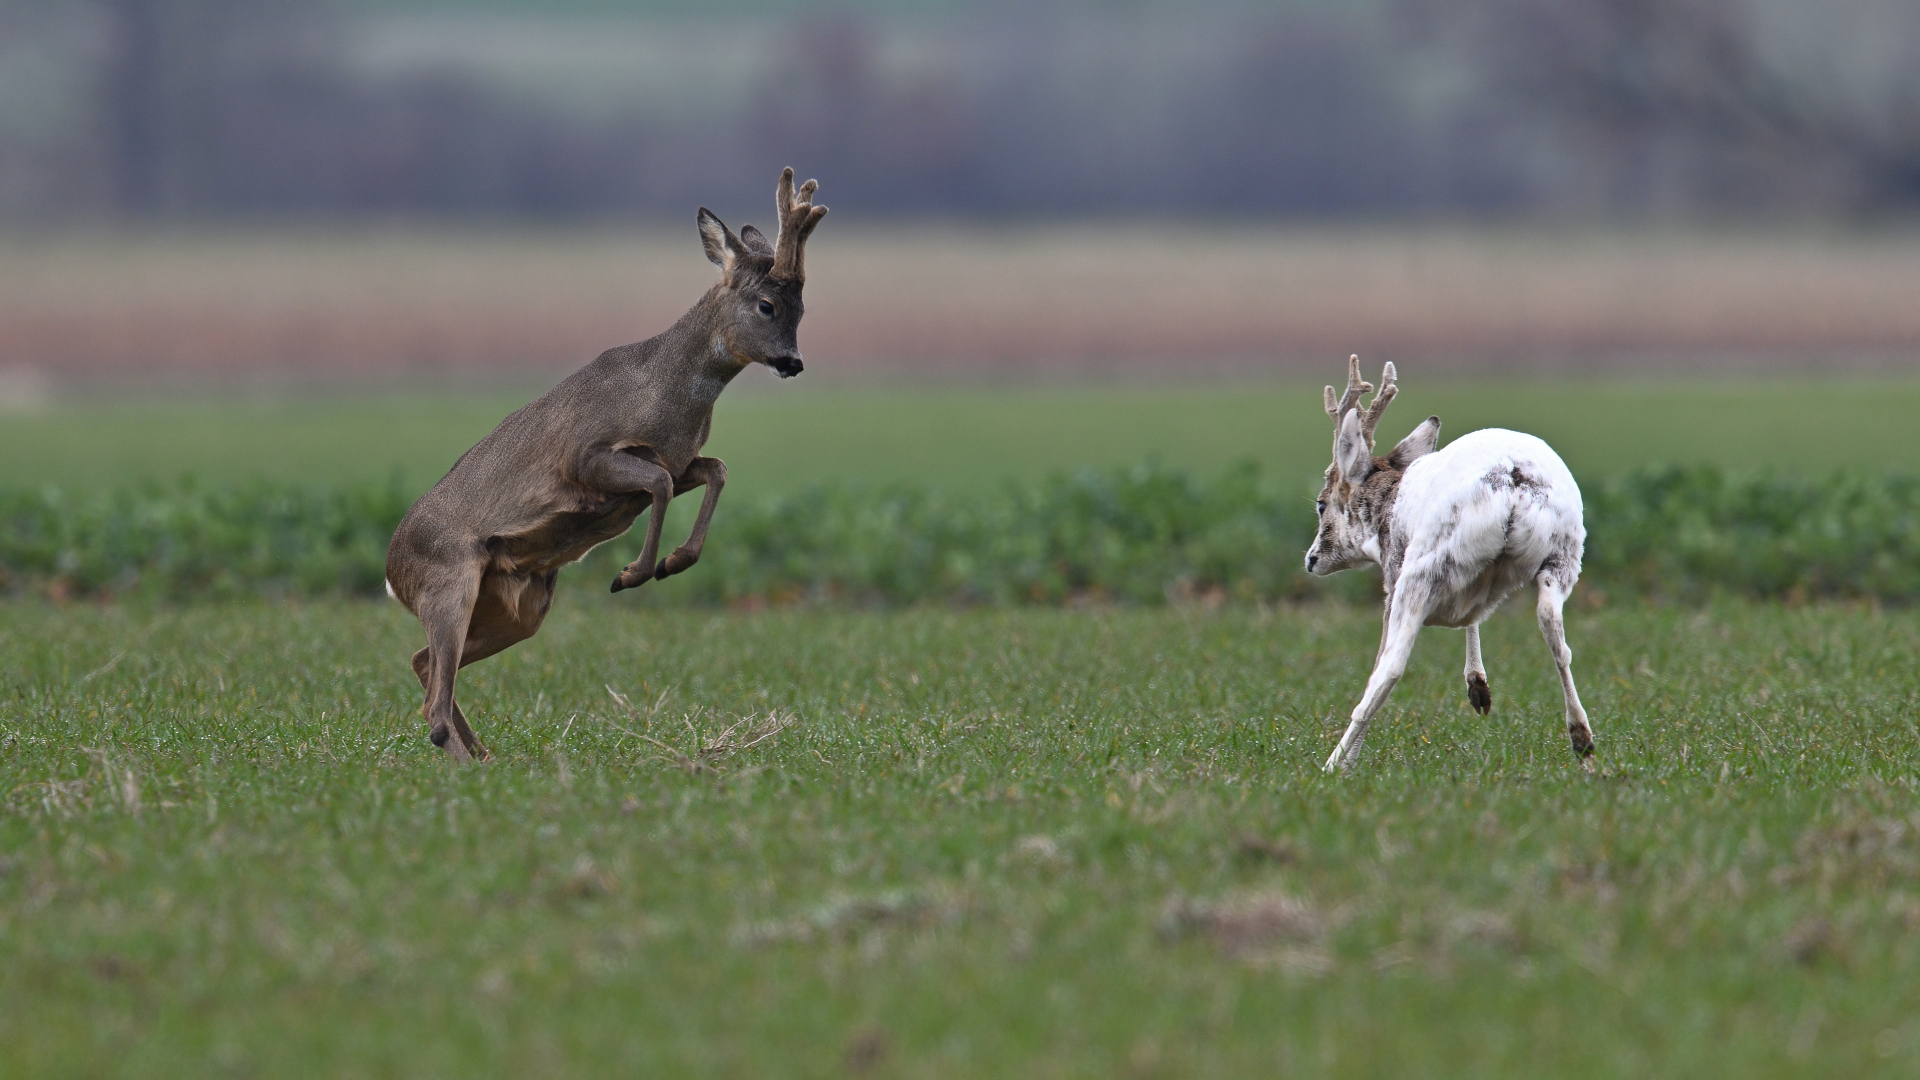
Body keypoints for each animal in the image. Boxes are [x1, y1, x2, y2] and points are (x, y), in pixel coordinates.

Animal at [382, 166, 825, 757]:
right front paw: (633, 573)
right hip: (449, 582)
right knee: (431, 703)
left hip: (519, 607)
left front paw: (673, 562)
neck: (666, 395)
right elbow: (659, 483)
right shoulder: (586, 457)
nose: (793, 362)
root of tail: (390, 572)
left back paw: (484, 755)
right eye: (767, 306)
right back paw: (471, 759)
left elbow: (714, 469)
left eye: (802, 309)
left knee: (424, 664)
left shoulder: (679, 459)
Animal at [1305, 357, 1589, 768]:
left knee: (1391, 665)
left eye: (1321, 503)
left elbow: (1385, 656)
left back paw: (1332, 764)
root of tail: (1512, 478)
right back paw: (1582, 741)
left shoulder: (1394, 573)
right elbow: (1473, 617)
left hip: (1421, 569)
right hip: (1564, 554)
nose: (1311, 559)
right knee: (1553, 625)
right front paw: (1479, 691)